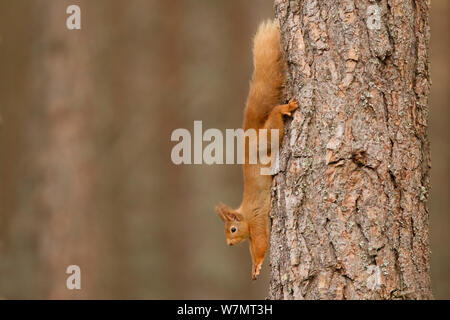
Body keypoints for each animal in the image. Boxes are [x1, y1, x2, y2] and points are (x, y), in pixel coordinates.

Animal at [215, 20, 298, 280]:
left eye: (232, 229)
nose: (230, 245)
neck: (244, 215)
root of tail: (249, 137)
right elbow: (253, 248)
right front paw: (253, 267)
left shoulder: (258, 218)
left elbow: (261, 243)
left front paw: (259, 264)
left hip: (268, 137)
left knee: (274, 120)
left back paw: (284, 108)